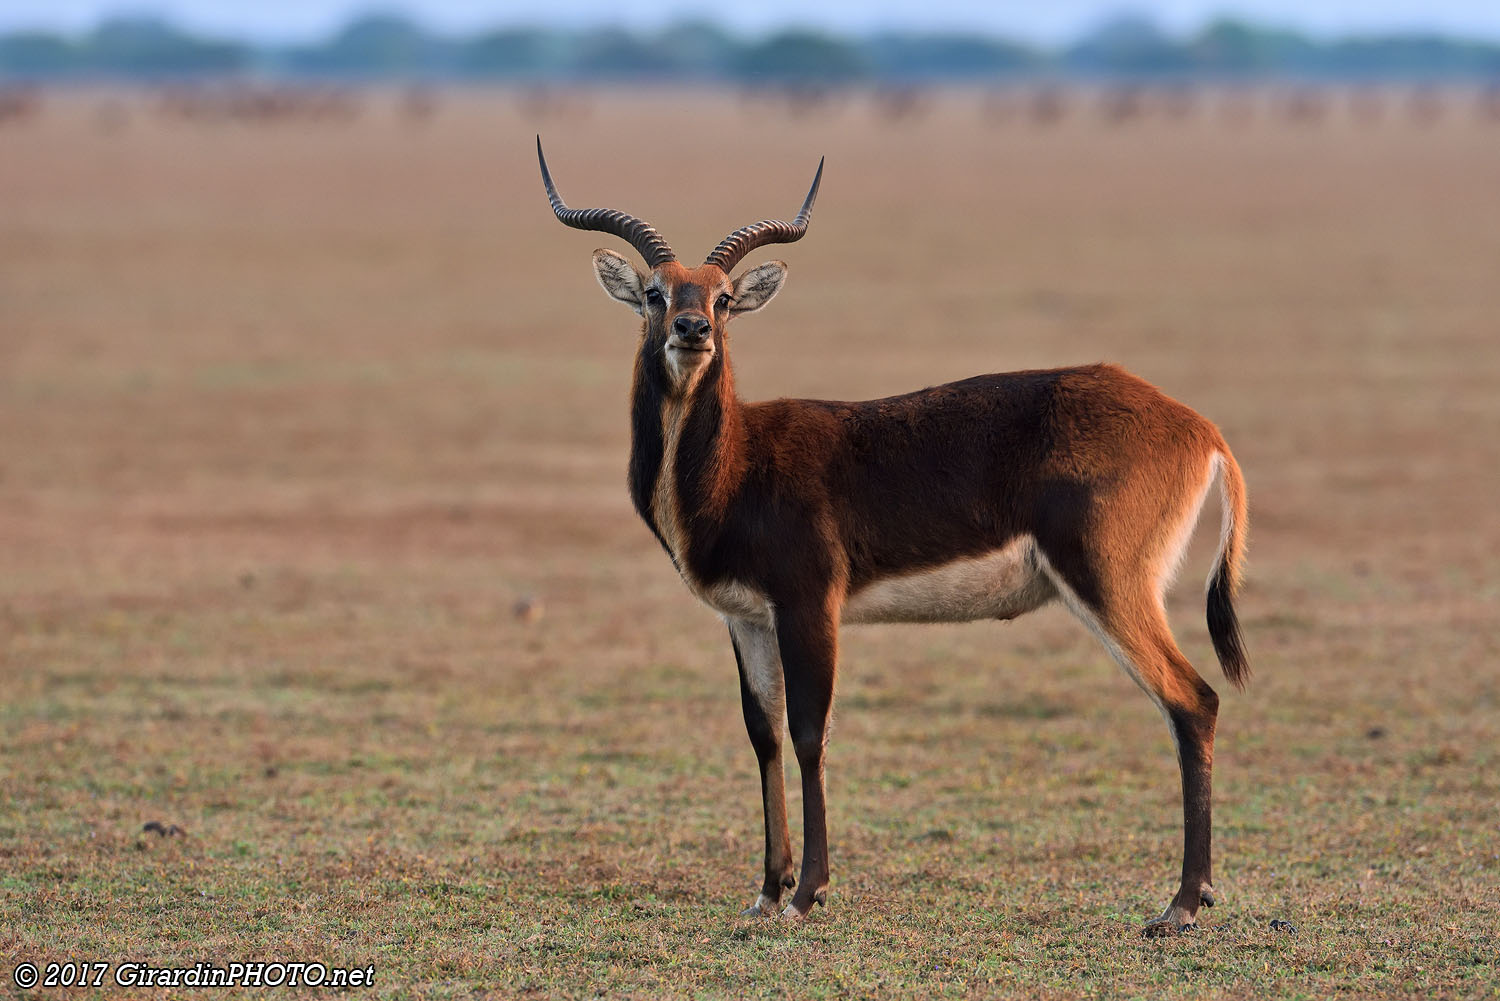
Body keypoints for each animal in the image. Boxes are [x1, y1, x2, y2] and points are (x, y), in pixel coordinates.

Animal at [534, 137, 1248, 936]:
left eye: (721, 298)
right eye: (658, 293)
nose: (693, 332)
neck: (738, 462)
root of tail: (1200, 427)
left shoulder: (810, 604)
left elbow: (810, 731)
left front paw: (808, 894)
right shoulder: (746, 618)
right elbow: (764, 732)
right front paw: (768, 890)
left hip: (1110, 585)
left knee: (1193, 701)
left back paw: (1181, 904)